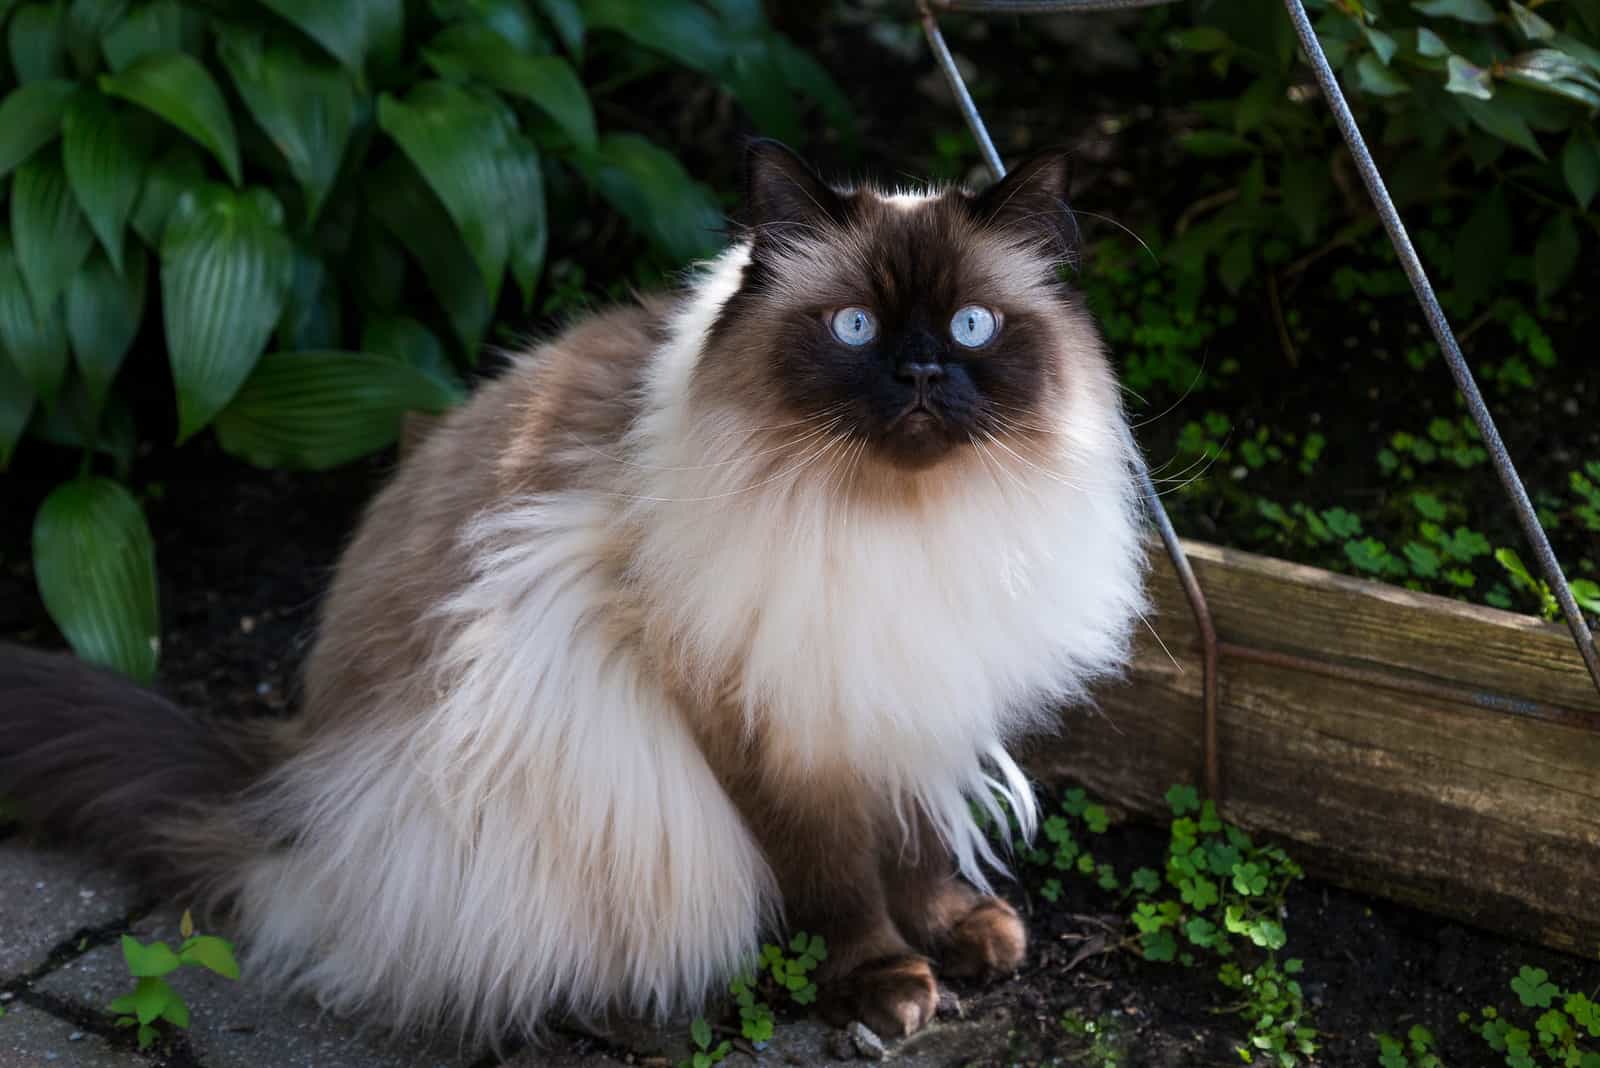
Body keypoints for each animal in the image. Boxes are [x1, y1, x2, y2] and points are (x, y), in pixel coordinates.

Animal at [0, 141, 1152, 1048]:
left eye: (970, 327)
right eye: (856, 328)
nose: (917, 374)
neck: (897, 526)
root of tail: (281, 780)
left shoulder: (903, 694)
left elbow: (914, 847)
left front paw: (960, 933)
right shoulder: (775, 716)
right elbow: (837, 876)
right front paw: (885, 983)